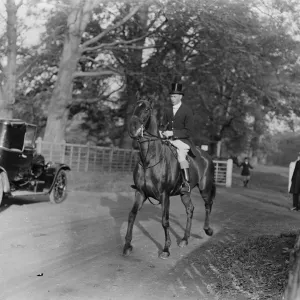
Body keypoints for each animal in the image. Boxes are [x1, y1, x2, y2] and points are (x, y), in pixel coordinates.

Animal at [122, 95, 216, 258]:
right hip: (185, 193)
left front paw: (166, 249)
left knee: (208, 205)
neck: (149, 159)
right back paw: (184, 239)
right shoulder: (140, 193)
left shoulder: (164, 195)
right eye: (135, 107)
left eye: (147, 109)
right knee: (190, 209)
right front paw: (127, 245)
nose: (133, 129)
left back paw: (207, 230)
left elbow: (165, 221)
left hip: (205, 188)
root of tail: (206, 156)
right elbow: (132, 215)